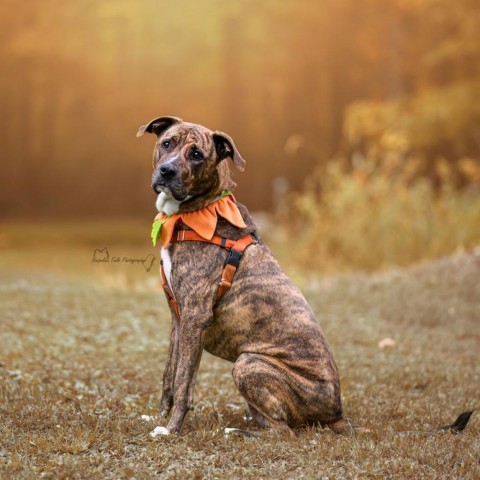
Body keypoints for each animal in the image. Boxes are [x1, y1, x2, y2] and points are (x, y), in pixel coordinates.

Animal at [136, 115, 472, 436]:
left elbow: (183, 383)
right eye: (167, 143)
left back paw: (237, 431)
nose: (167, 171)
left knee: (284, 432)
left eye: (196, 154)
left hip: (249, 363)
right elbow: (170, 376)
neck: (196, 212)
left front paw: (171, 429)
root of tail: (337, 414)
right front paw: (160, 417)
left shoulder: (195, 317)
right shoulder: (179, 319)